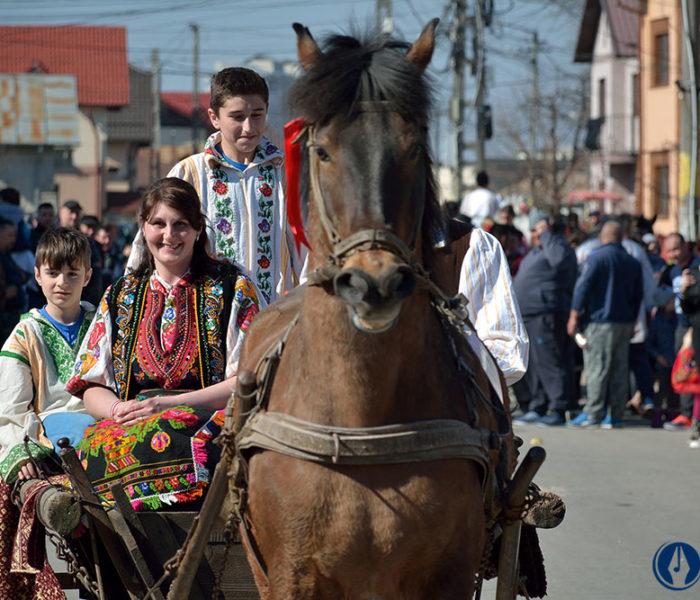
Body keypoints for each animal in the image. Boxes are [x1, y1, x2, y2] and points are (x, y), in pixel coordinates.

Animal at [232, 18, 512, 600]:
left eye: (413, 148)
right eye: (322, 151)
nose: (375, 282)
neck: (362, 422)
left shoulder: (450, 576)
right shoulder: (290, 575)